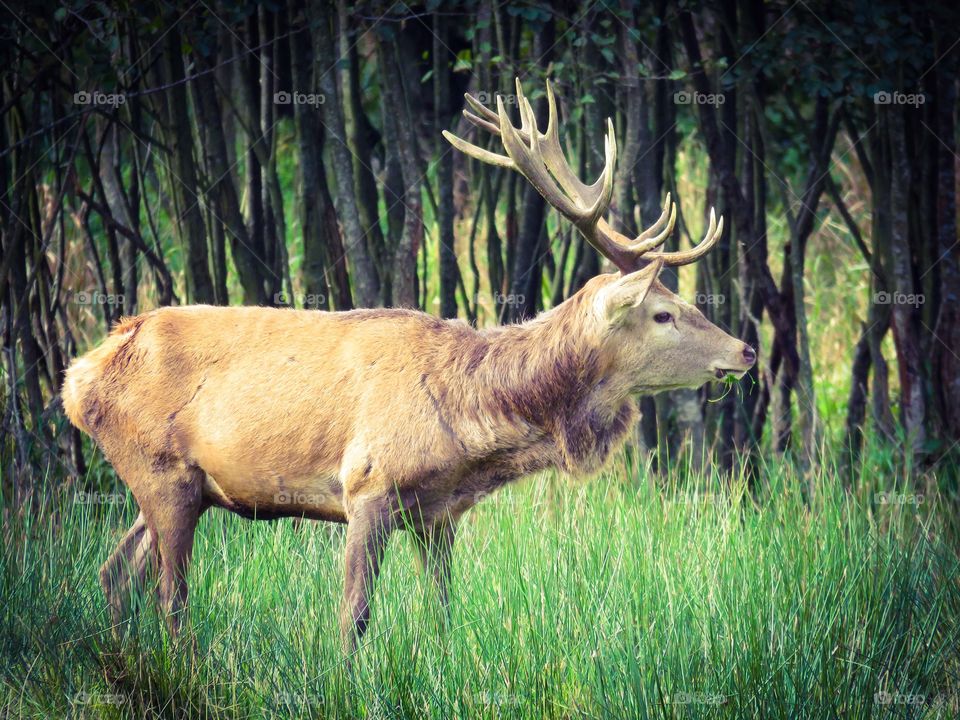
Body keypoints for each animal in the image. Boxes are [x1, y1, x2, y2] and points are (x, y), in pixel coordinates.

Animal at [62, 78, 756, 656]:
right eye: (663, 313)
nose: (745, 350)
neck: (469, 421)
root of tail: (79, 376)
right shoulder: (367, 485)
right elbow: (354, 615)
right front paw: (347, 680)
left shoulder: (439, 513)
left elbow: (442, 612)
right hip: (160, 470)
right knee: (170, 599)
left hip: (180, 485)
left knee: (114, 573)